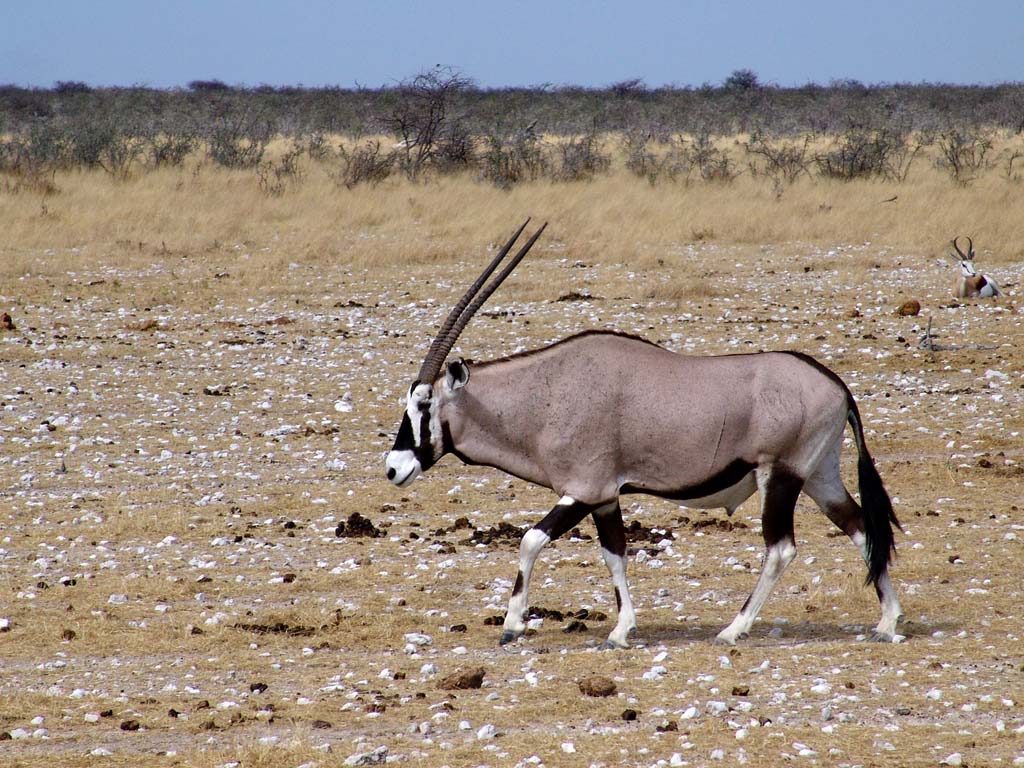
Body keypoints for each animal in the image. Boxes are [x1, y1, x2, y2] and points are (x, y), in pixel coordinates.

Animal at [385, 222, 905, 651]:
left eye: (424, 404)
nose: (393, 468)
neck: (545, 393)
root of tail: (836, 385)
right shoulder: (605, 497)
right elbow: (615, 554)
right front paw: (621, 629)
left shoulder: (583, 489)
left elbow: (530, 540)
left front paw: (513, 625)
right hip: (819, 476)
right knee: (860, 526)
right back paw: (887, 621)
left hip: (779, 476)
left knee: (781, 549)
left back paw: (734, 629)